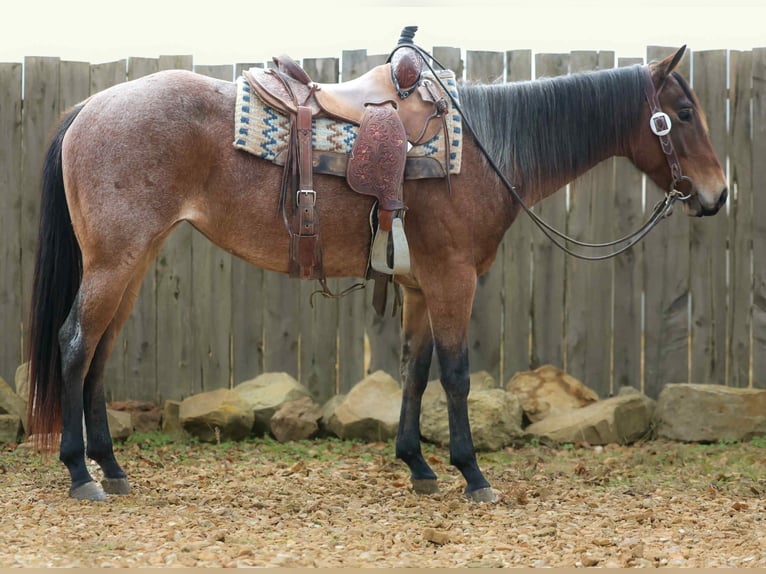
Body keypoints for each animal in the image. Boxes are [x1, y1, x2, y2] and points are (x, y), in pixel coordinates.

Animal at [26, 44, 727, 502]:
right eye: (683, 114)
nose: (719, 194)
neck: (482, 153)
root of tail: (89, 107)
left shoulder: (419, 287)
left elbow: (415, 373)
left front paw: (419, 466)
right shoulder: (453, 279)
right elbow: (455, 375)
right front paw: (472, 475)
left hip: (133, 261)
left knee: (100, 352)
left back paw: (113, 469)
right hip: (115, 261)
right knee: (76, 344)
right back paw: (81, 475)